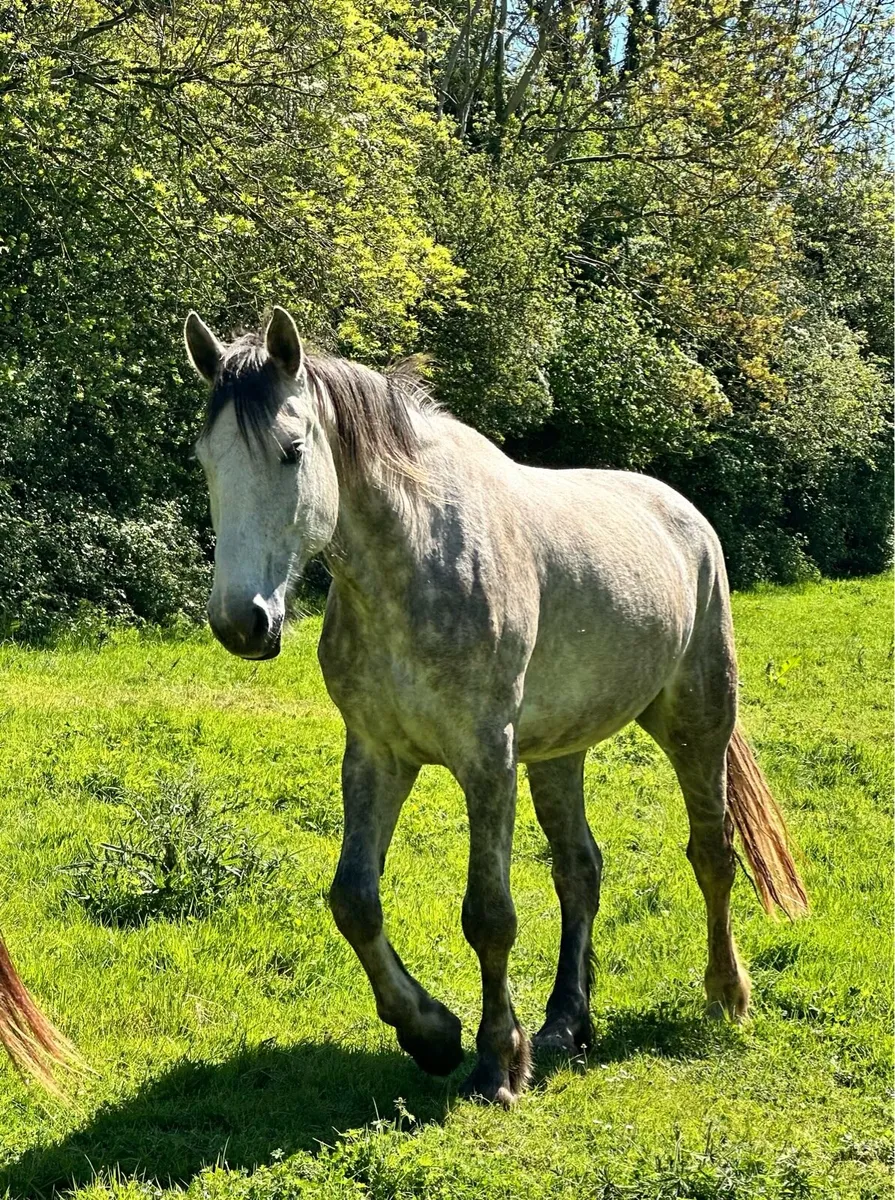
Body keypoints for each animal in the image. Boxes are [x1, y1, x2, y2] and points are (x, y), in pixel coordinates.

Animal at [0, 304, 807, 1100]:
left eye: (292, 451)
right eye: (205, 460)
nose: (241, 622)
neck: (413, 561)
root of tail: (684, 515)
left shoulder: (486, 759)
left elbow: (489, 916)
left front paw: (495, 1061)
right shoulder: (378, 753)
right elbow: (354, 899)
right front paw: (430, 1032)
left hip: (696, 721)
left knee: (712, 853)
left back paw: (726, 995)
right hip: (559, 751)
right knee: (579, 867)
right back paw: (564, 1025)